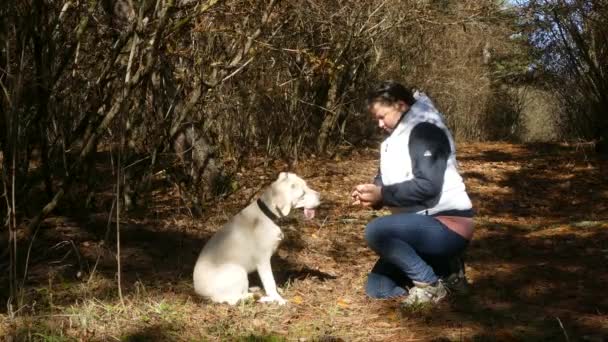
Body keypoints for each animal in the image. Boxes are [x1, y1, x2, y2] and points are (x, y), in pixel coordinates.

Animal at [192, 172, 320, 306]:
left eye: (307, 186)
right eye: (302, 194)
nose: (320, 196)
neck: (268, 214)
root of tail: (198, 292)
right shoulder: (263, 259)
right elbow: (270, 282)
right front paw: (278, 299)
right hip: (238, 271)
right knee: (232, 299)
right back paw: (258, 297)